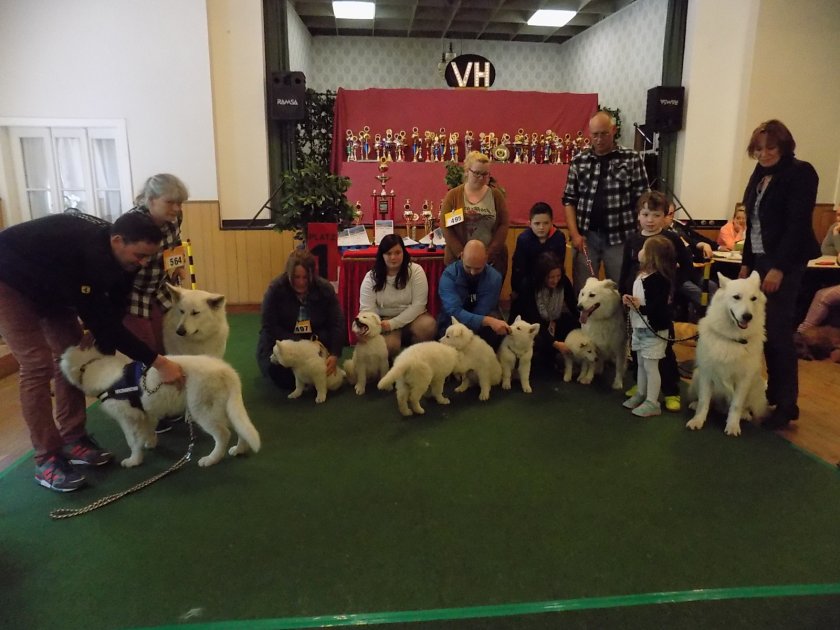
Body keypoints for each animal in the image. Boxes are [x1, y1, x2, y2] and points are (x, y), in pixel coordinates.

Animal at [60, 346, 260, 468]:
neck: (94, 367)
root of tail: (227, 371)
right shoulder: (146, 413)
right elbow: (148, 430)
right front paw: (150, 442)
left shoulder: (128, 418)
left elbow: (132, 440)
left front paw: (134, 460)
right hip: (223, 407)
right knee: (239, 427)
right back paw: (239, 449)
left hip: (202, 410)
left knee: (223, 434)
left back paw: (212, 459)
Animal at [686, 271, 769, 436]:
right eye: (736, 297)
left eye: (753, 299)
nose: (747, 316)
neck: (732, 339)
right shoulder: (706, 374)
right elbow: (704, 401)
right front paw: (698, 420)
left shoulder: (744, 380)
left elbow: (736, 405)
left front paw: (732, 426)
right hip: (697, 375)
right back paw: (694, 404)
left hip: (756, 384)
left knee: (745, 406)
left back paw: (745, 414)